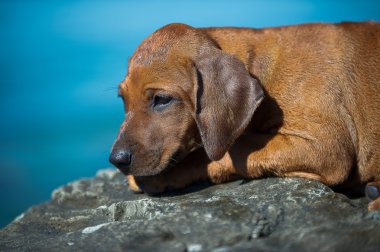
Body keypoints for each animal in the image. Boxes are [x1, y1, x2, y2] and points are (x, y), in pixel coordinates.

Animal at [109, 21, 380, 211]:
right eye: (122, 99)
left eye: (162, 99)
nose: (116, 160)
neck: (259, 68)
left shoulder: (325, 146)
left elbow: (229, 149)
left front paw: (165, 175)